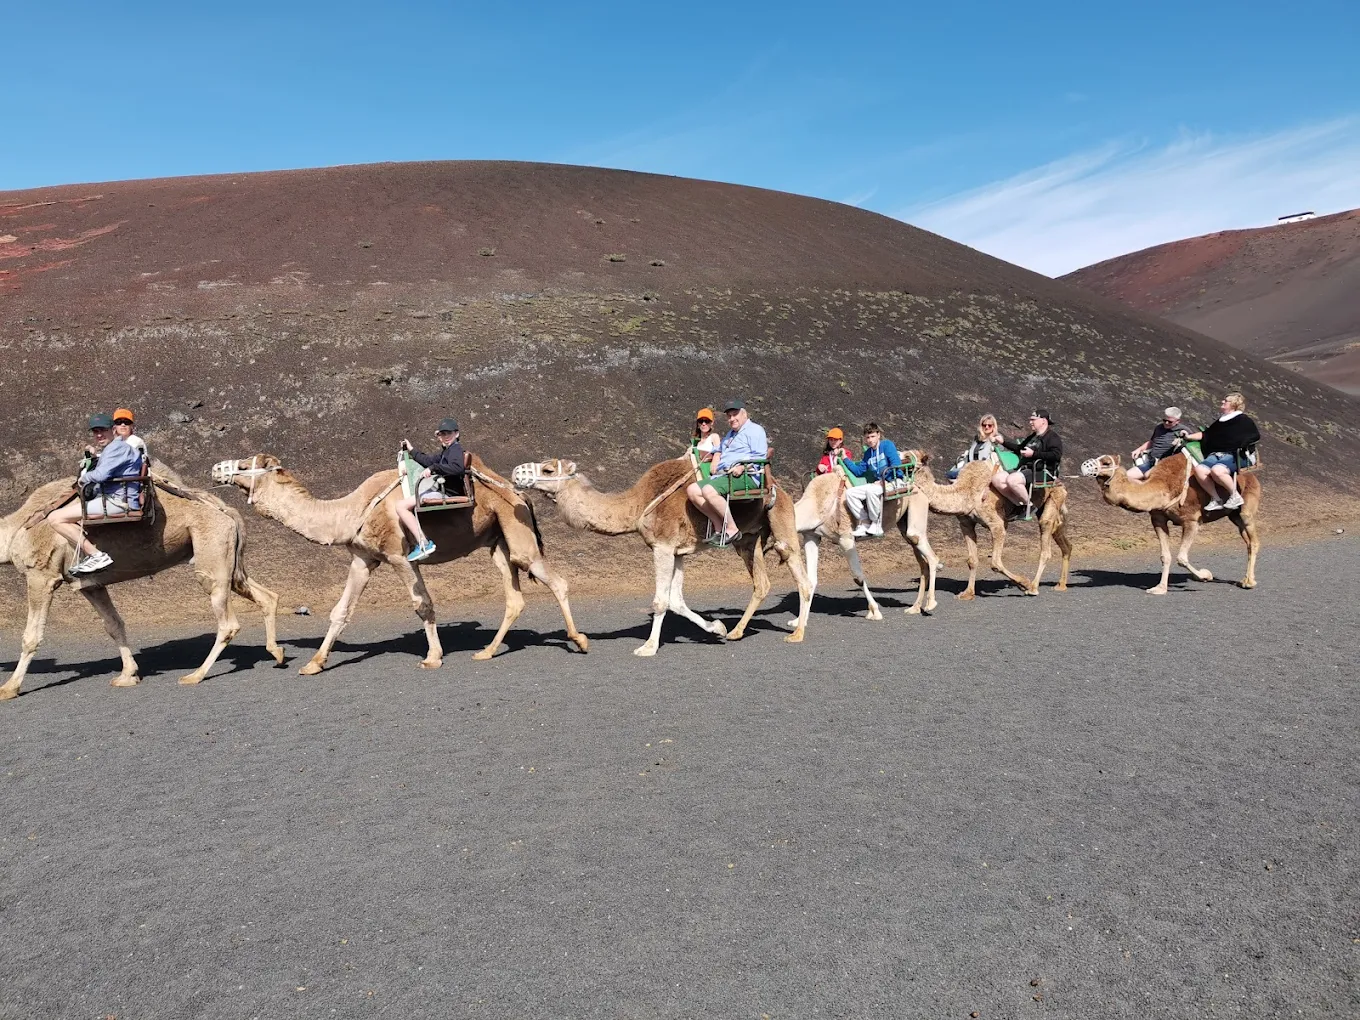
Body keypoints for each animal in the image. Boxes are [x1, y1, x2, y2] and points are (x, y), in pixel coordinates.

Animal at [1, 477, 285, 699]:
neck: (15, 530)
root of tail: (226, 510)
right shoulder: (89, 585)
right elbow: (114, 625)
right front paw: (128, 675)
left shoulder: (41, 575)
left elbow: (31, 636)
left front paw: (9, 688)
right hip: (227, 559)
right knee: (265, 595)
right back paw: (277, 653)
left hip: (211, 550)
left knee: (227, 621)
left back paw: (195, 675)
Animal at [211, 454, 588, 671]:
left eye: (243, 465)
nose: (215, 469)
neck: (349, 512)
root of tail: (519, 492)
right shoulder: (363, 559)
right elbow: (341, 611)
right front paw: (315, 663)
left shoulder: (398, 555)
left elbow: (423, 604)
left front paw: (433, 657)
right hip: (497, 541)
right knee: (514, 597)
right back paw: (487, 652)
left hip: (515, 527)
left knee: (554, 580)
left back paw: (579, 640)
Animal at [511, 456, 812, 656]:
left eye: (548, 469)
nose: (516, 472)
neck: (638, 505)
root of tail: (779, 488)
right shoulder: (677, 552)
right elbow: (676, 600)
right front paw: (717, 628)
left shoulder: (663, 547)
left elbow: (660, 601)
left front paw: (648, 646)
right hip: (749, 541)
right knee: (762, 583)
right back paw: (737, 631)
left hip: (782, 521)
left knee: (802, 579)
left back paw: (797, 634)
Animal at [901, 454, 1072, 598]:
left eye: (908, 464)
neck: (966, 492)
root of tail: (1059, 481)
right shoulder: (966, 524)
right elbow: (972, 560)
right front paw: (967, 593)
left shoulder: (998, 524)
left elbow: (995, 563)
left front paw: (1024, 583)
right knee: (1063, 539)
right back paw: (1061, 585)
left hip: (1053, 497)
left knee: (1045, 543)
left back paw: (1033, 587)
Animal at [1080, 451, 1260, 593]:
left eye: (1106, 462)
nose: (1084, 466)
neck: (1163, 486)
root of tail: (1252, 476)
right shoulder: (1158, 519)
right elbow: (1165, 556)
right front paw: (1159, 588)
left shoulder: (1191, 520)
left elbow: (1182, 557)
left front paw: (1205, 575)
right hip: (1234, 516)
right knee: (1248, 541)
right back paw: (1245, 579)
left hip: (1246, 511)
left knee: (1254, 541)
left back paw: (1249, 582)